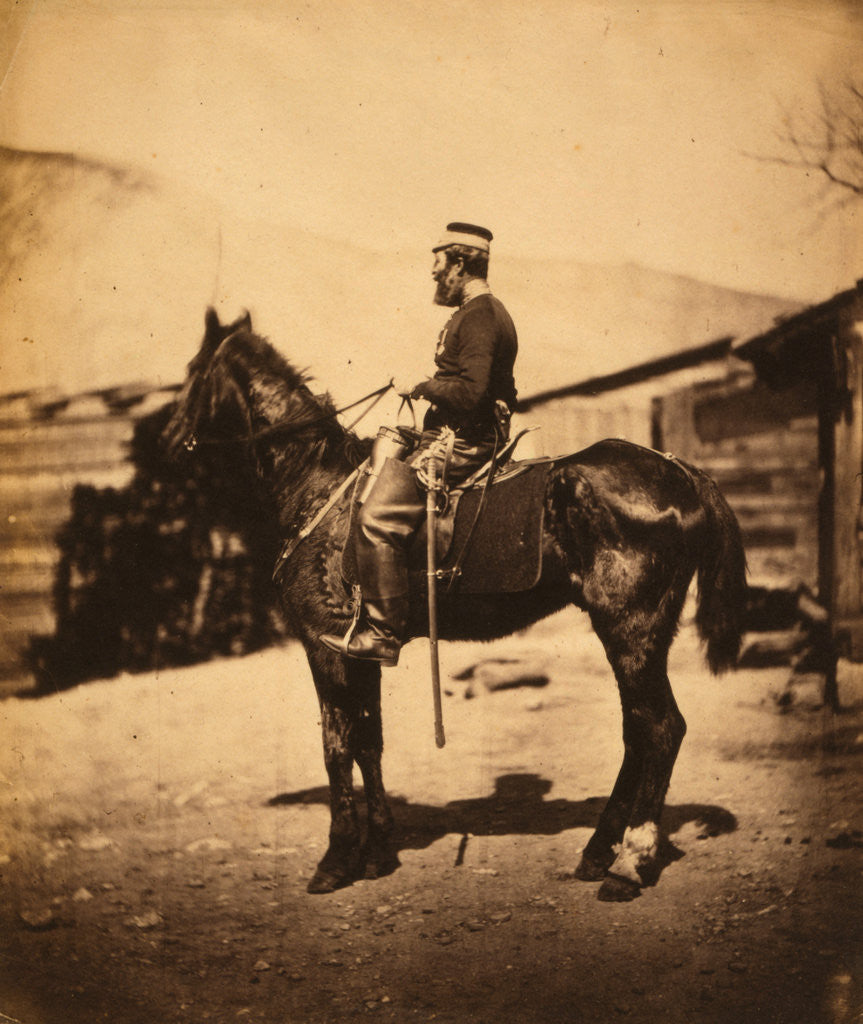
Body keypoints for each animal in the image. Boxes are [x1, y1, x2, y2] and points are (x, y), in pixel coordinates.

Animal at [161, 308, 748, 902]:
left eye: (191, 373)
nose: (166, 439)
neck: (317, 487)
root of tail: (680, 471)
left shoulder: (324, 646)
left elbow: (337, 746)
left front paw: (336, 859)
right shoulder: (358, 649)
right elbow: (369, 741)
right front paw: (378, 852)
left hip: (630, 630)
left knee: (660, 728)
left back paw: (630, 862)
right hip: (639, 636)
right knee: (637, 732)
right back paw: (597, 851)